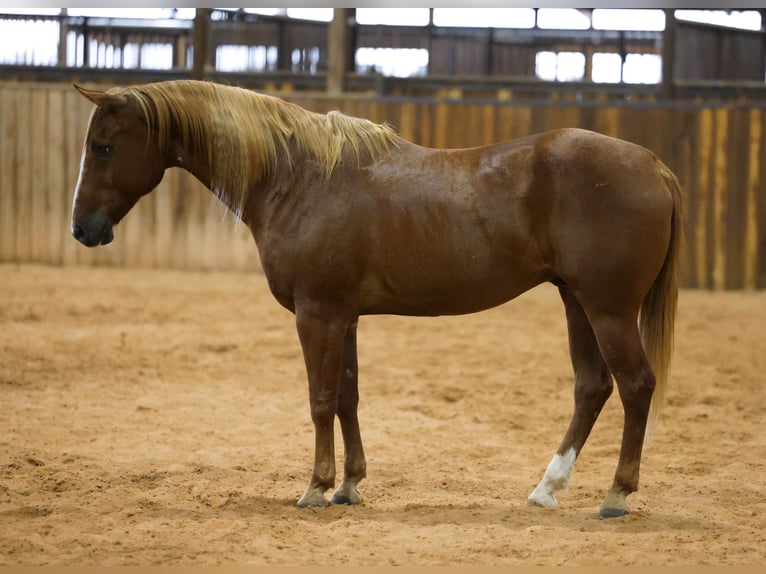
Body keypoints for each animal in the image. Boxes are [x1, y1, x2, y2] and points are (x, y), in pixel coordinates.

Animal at [70, 79, 682, 518]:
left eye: (103, 147)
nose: (82, 229)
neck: (299, 178)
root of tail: (653, 164)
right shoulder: (344, 317)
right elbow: (348, 396)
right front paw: (349, 486)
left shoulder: (317, 314)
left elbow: (320, 399)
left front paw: (316, 488)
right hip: (577, 302)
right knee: (592, 388)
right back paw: (546, 488)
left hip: (607, 309)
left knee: (635, 386)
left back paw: (616, 495)